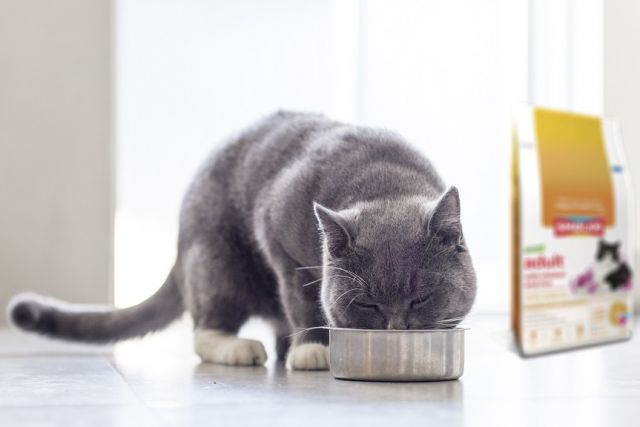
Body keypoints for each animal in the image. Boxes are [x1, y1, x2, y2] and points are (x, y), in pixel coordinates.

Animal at [6, 111, 476, 372]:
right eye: (368, 304)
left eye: (421, 298)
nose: (397, 329)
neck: (385, 181)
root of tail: (179, 248)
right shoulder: (279, 238)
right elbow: (302, 300)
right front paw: (313, 349)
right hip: (218, 260)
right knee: (205, 326)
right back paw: (241, 347)